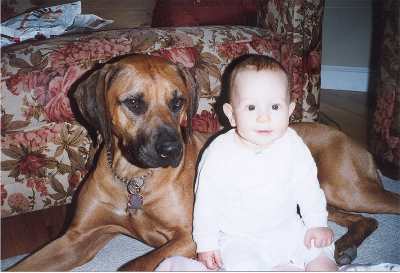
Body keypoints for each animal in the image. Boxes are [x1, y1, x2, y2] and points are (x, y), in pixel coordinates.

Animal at [9, 53, 400, 270]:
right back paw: (345, 246)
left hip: (346, 188)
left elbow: (134, 265)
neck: (134, 179)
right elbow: (28, 264)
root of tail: (349, 136)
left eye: (178, 101)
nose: (172, 151)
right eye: (133, 103)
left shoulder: (190, 236)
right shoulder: (77, 238)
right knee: (359, 220)